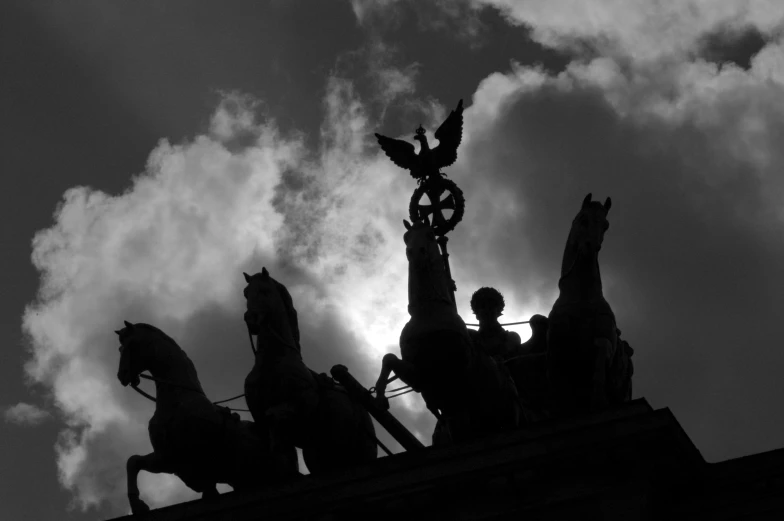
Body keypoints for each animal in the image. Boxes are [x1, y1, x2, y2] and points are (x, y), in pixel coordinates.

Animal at [374, 218, 520, 442]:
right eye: (406, 237)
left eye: (430, 234)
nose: (416, 253)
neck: (429, 312)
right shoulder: (422, 378)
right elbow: (389, 359)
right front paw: (380, 397)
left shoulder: (455, 385)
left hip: (507, 413)